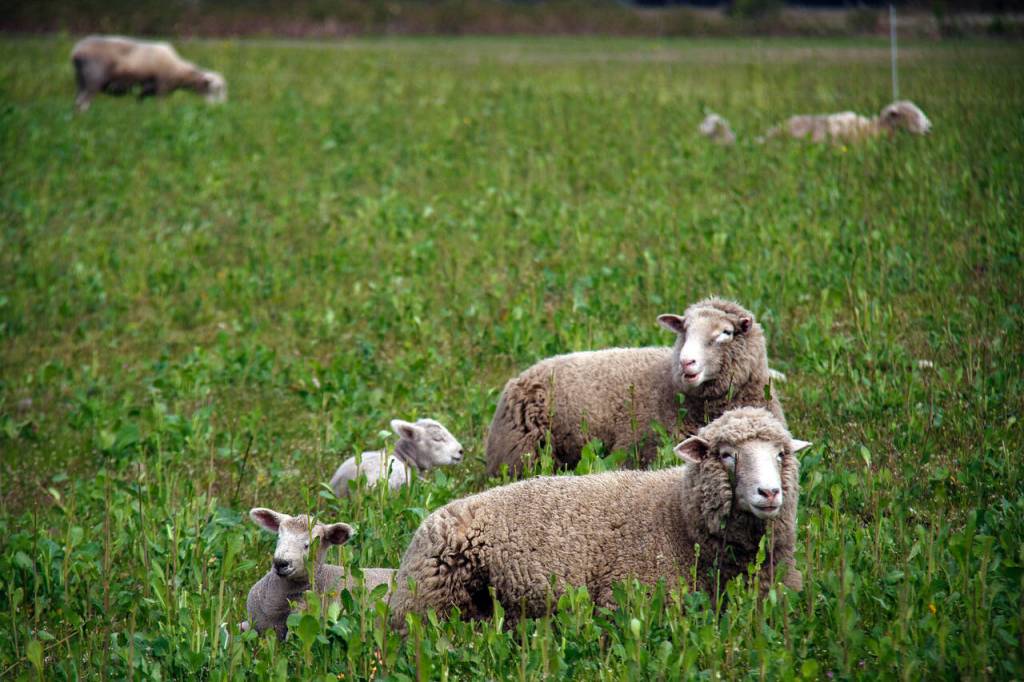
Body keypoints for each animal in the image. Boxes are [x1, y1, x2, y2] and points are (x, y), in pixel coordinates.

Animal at [70, 35, 227, 113]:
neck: (179, 71)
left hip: (80, 80)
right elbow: (161, 107)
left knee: (77, 102)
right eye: (215, 89)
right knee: (83, 103)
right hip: (93, 79)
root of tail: (77, 51)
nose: (221, 108)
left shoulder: (144, 92)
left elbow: (140, 105)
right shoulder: (162, 87)